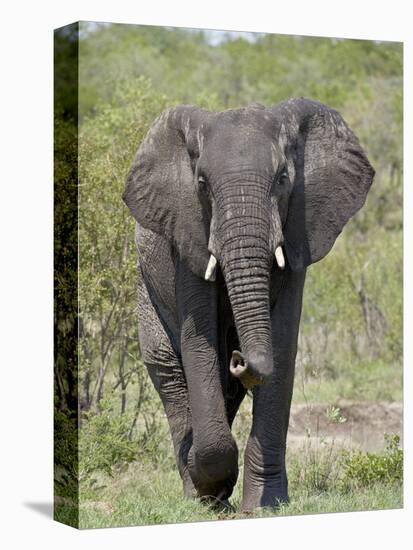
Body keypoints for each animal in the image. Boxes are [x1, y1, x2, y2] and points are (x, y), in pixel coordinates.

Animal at [121, 98, 374, 512]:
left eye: (283, 180)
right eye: (201, 185)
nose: (240, 357)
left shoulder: (298, 231)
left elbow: (282, 343)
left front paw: (262, 506)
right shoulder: (187, 233)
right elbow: (199, 344)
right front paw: (209, 485)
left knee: (228, 388)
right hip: (146, 287)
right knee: (168, 369)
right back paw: (199, 493)